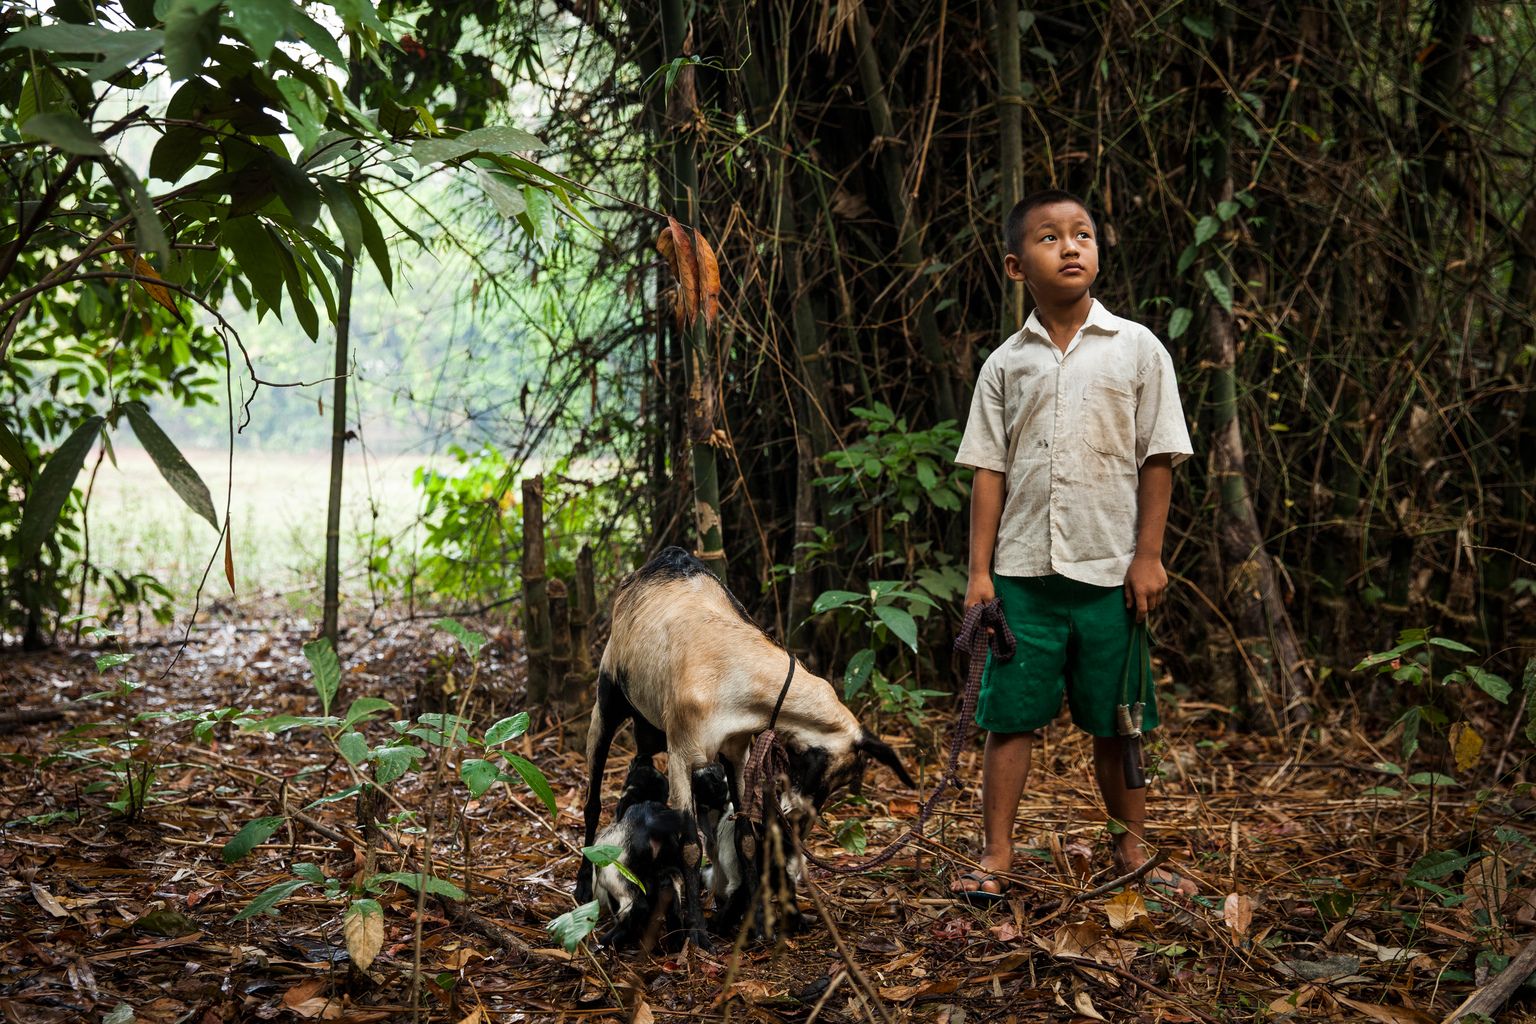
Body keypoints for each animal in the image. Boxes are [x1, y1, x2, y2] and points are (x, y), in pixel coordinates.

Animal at [577, 549, 909, 951]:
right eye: (815, 763)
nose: (799, 821)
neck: (728, 672)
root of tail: (666, 556)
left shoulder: (737, 754)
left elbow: (746, 838)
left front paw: (759, 922)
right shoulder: (681, 754)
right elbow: (690, 847)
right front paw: (697, 933)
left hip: (650, 729)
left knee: (637, 767)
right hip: (606, 703)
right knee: (593, 803)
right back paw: (583, 886)